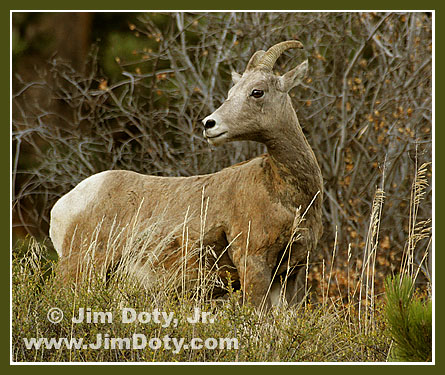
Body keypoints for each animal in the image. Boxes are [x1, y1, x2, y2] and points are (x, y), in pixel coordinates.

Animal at [49, 41, 322, 310]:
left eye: (257, 92)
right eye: (232, 93)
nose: (209, 124)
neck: (287, 196)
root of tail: (64, 206)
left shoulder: (289, 275)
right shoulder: (253, 265)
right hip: (81, 271)